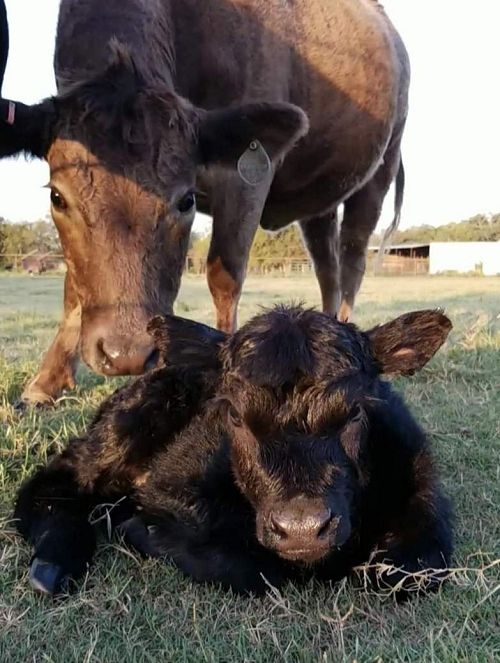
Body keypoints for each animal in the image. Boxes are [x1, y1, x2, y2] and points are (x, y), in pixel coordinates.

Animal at [0, 0, 410, 406]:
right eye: (57, 197)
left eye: (186, 201)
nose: (128, 351)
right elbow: (74, 285)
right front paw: (46, 381)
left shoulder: (247, 177)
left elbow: (223, 273)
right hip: (320, 203)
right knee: (328, 268)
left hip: (378, 172)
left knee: (352, 260)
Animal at [14, 305, 453, 599]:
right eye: (235, 416)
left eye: (356, 410)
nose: (302, 528)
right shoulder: (168, 489)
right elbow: (246, 566)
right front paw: (138, 529)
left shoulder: (423, 503)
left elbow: (410, 570)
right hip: (120, 431)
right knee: (48, 485)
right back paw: (53, 563)